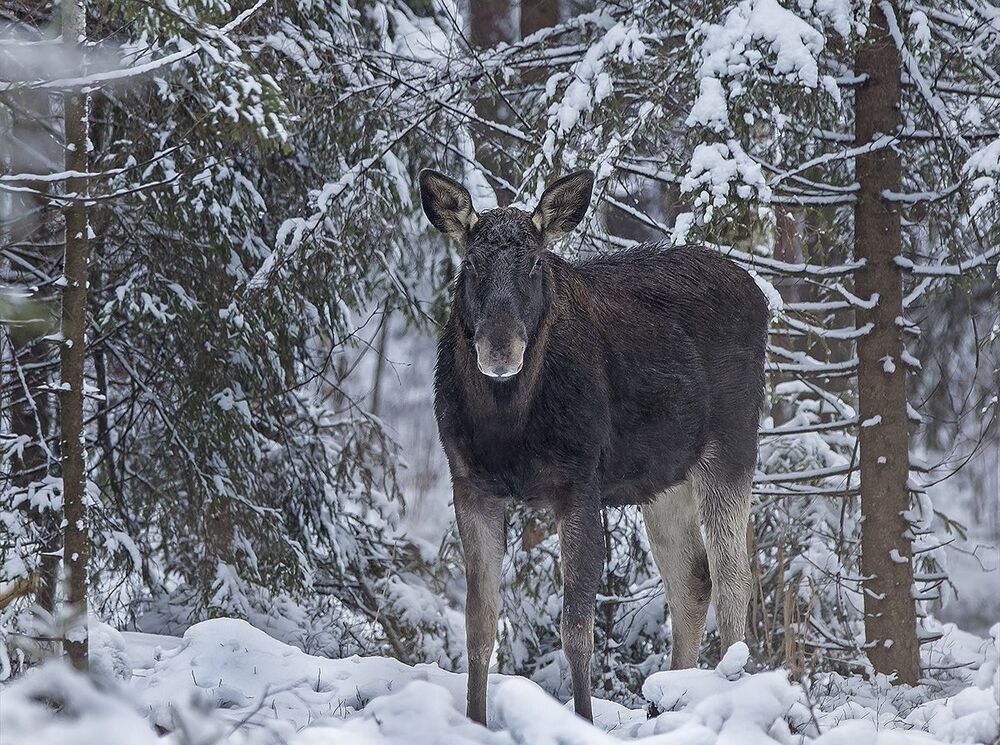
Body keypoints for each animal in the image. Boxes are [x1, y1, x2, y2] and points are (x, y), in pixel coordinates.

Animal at [419, 168, 768, 724]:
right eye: (470, 262)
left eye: (536, 262)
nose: (499, 348)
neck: (507, 426)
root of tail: (759, 294)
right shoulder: (470, 484)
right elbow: (479, 625)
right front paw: (475, 720)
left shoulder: (579, 481)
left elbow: (576, 630)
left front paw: (582, 718)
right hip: (665, 476)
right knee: (692, 580)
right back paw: (669, 701)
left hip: (732, 447)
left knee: (733, 581)